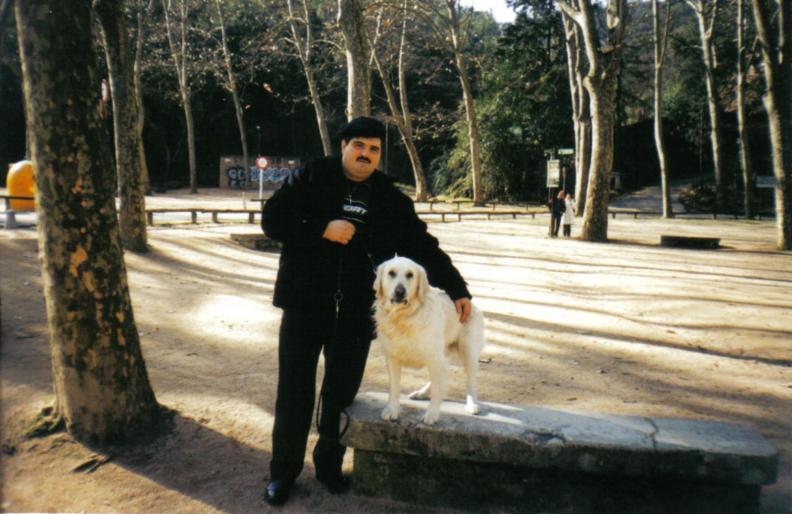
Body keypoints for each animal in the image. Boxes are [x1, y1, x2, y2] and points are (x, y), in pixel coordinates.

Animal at [374, 254, 486, 422]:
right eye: (391, 273)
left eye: (410, 275)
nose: (400, 291)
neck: (404, 317)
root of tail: (473, 304)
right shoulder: (392, 357)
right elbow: (394, 388)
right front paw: (391, 409)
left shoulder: (434, 357)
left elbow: (437, 389)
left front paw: (432, 413)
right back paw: (421, 393)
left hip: (468, 351)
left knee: (470, 380)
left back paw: (472, 404)